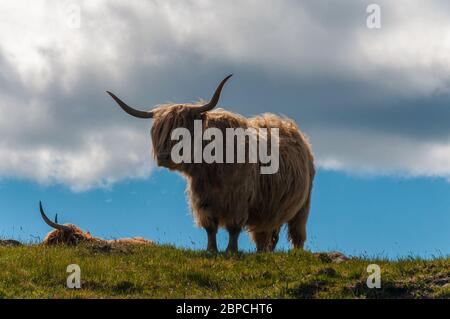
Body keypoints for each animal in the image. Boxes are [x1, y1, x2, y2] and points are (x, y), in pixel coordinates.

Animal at [107, 74, 314, 252]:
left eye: (182, 131)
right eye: (158, 131)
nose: (164, 156)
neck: (211, 168)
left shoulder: (238, 199)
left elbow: (233, 228)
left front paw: (231, 250)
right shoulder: (203, 200)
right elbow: (210, 227)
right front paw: (211, 250)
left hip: (302, 206)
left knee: (297, 233)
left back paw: (296, 253)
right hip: (269, 210)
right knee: (265, 236)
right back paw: (262, 252)